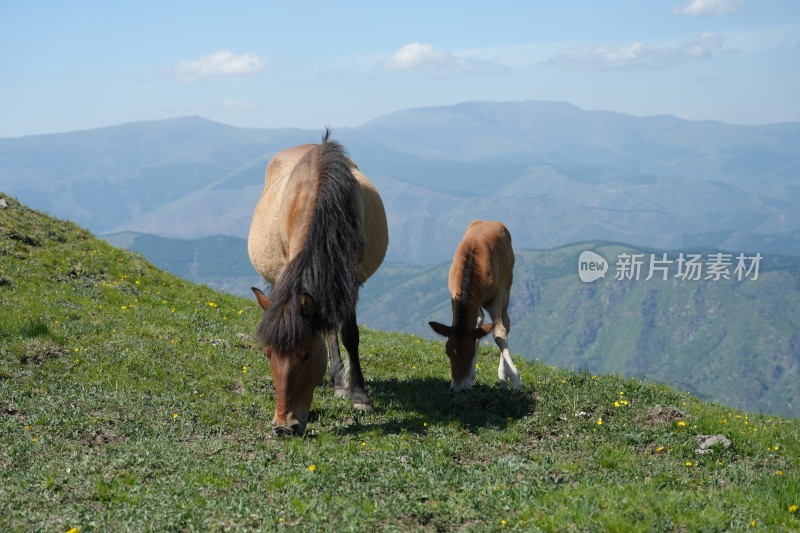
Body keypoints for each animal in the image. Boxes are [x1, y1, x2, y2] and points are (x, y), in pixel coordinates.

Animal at [250, 131, 388, 434]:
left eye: (306, 356)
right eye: (267, 354)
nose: (284, 426)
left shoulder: (350, 278)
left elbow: (350, 335)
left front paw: (360, 396)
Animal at [428, 219, 520, 390]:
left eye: (470, 354)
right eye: (448, 353)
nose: (457, 388)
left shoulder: (495, 296)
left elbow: (499, 332)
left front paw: (516, 381)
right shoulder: (455, 298)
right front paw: (467, 379)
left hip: (507, 283)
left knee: (506, 322)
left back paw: (503, 377)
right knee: (479, 321)